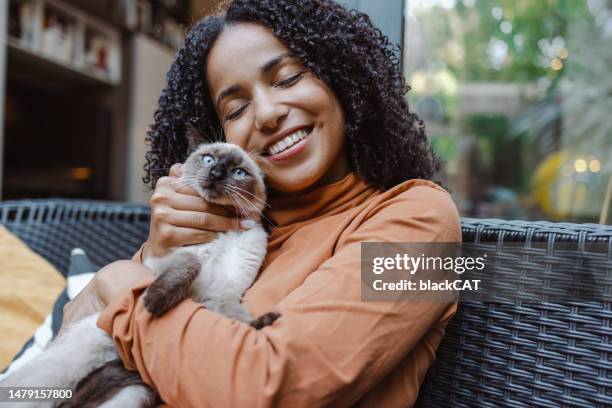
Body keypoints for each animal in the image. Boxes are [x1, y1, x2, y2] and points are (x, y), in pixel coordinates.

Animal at [0, 126, 278, 406]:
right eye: (209, 160)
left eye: (238, 172)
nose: (216, 174)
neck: (218, 234)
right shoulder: (165, 263)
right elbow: (192, 262)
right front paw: (154, 303)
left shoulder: (224, 293)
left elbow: (235, 317)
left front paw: (263, 322)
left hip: (134, 394)